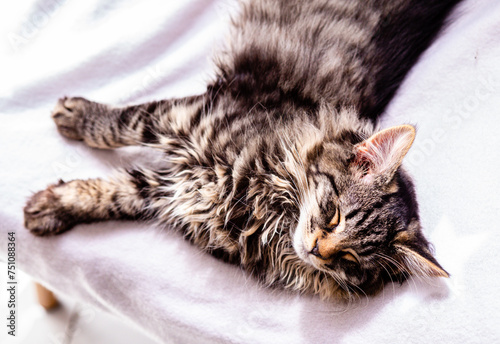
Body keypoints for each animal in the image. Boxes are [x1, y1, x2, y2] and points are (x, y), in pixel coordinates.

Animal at [24, 0, 460, 300]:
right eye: (334, 213)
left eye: (350, 261)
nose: (318, 250)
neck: (263, 200)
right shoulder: (188, 115)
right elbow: (118, 126)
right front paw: (76, 116)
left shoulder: (173, 191)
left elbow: (111, 194)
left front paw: (51, 207)